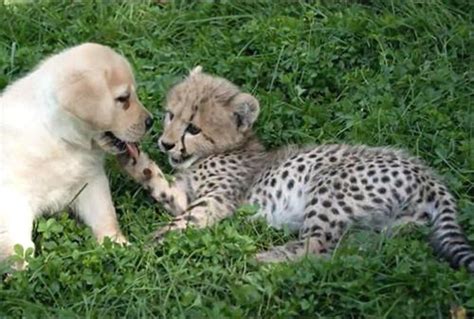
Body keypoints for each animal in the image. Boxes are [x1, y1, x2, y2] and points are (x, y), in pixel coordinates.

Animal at [0, 43, 151, 266]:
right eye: (123, 98)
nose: (151, 122)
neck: (60, 137)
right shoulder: (12, 198)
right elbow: (18, 245)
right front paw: (23, 271)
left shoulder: (91, 181)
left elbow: (105, 214)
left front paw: (117, 244)